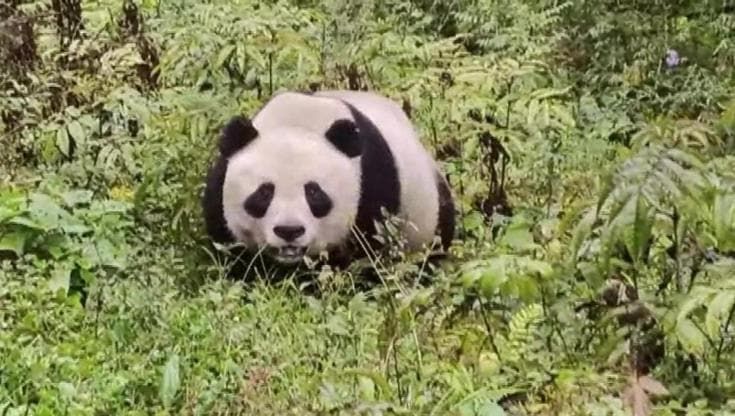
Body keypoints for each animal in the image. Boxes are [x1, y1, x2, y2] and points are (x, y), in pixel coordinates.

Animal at [201, 89, 455, 273]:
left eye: (314, 193)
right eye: (264, 193)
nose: (289, 231)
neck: (300, 119)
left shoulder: (372, 184)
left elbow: (369, 250)